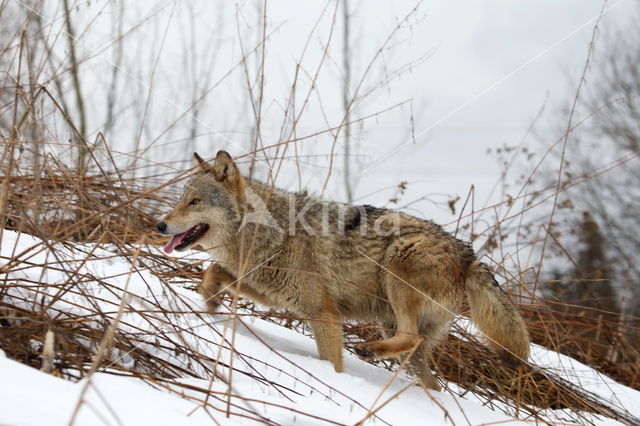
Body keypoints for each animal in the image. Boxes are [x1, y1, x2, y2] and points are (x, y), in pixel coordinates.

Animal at [156, 150, 528, 390]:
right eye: (181, 199)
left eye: (194, 202)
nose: (160, 225)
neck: (273, 231)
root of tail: (469, 254)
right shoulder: (267, 291)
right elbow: (214, 270)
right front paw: (210, 305)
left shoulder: (325, 314)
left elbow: (331, 362)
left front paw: (334, 382)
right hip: (399, 329)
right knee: (429, 376)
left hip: (396, 273)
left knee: (410, 336)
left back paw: (368, 350)